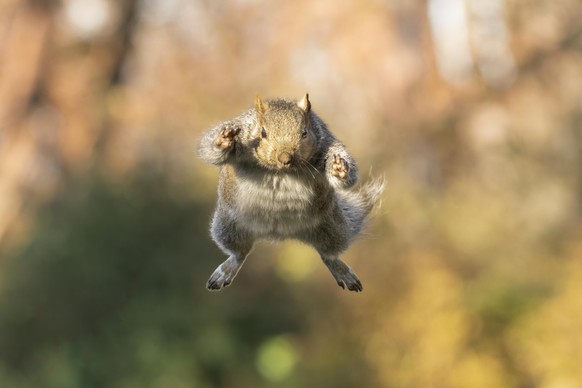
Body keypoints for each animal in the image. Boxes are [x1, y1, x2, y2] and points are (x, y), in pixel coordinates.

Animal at [198, 95, 386, 292]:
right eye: (262, 133)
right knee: (240, 253)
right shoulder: (242, 129)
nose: (285, 158)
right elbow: (209, 150)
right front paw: (224, 140)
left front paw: (339, 169)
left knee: (327, 254)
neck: (280, 170)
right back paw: (226, 270)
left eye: (304, 132)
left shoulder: (325, 142)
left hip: (333, 228)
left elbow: (348, 175)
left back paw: (341, 271)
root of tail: (280, 234)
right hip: (228, 226)